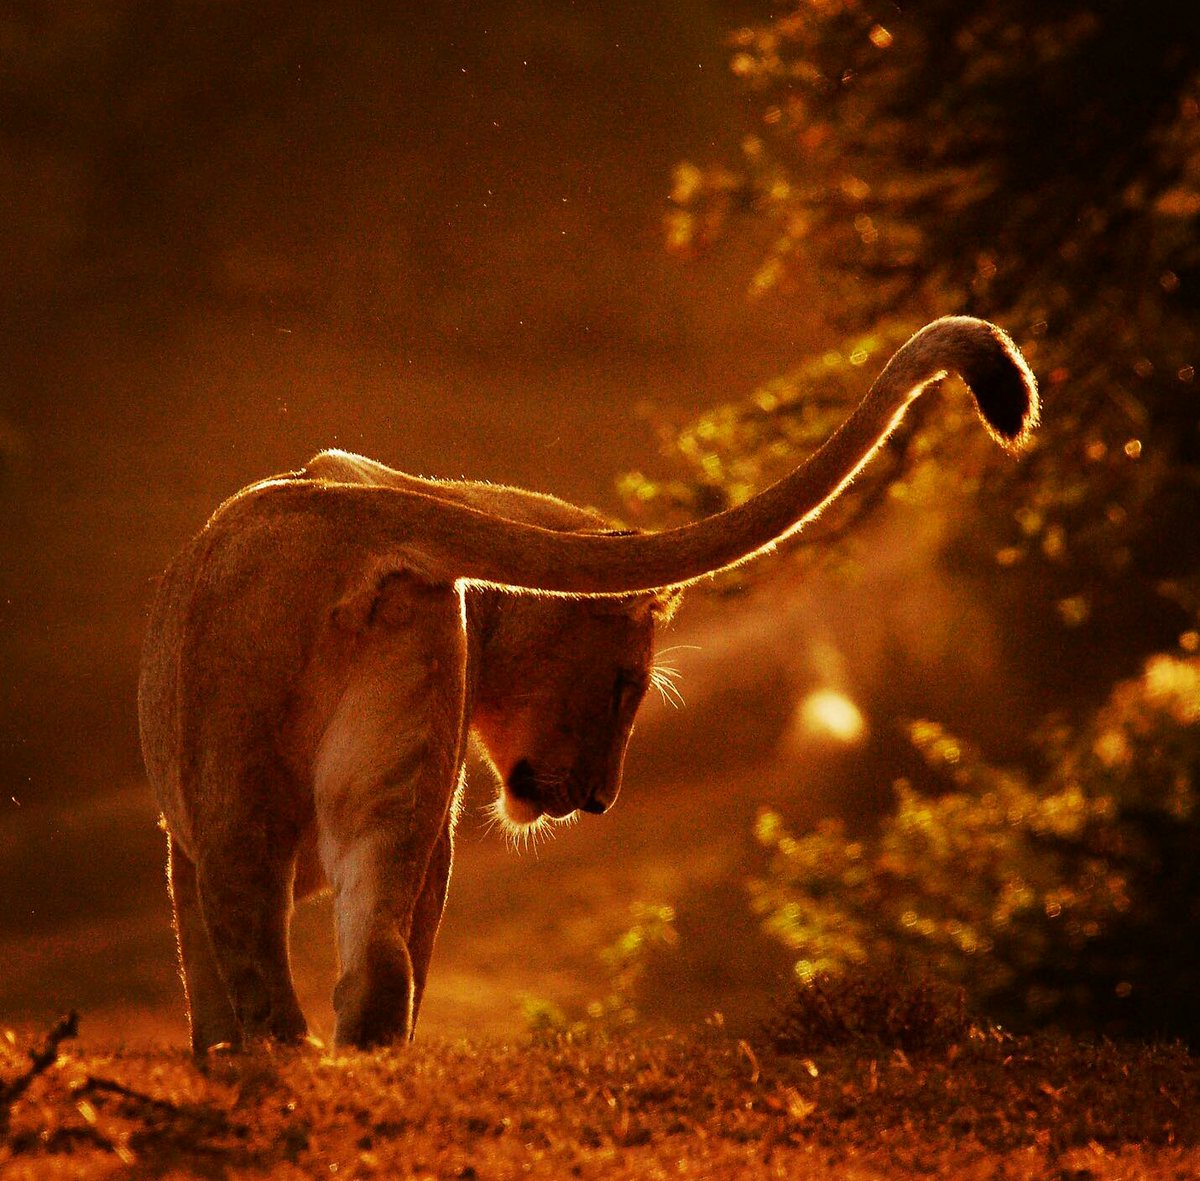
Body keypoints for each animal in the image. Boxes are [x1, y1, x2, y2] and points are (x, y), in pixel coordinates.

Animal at [138, 316, 1038, 1053]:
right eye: (623, 686)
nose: (603, 800)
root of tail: (354, 517)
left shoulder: (187, 844)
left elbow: (205, 983)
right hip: (390, 795)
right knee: (379, 970)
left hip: (243, 802)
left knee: (265, 978)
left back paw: (277, 1073)